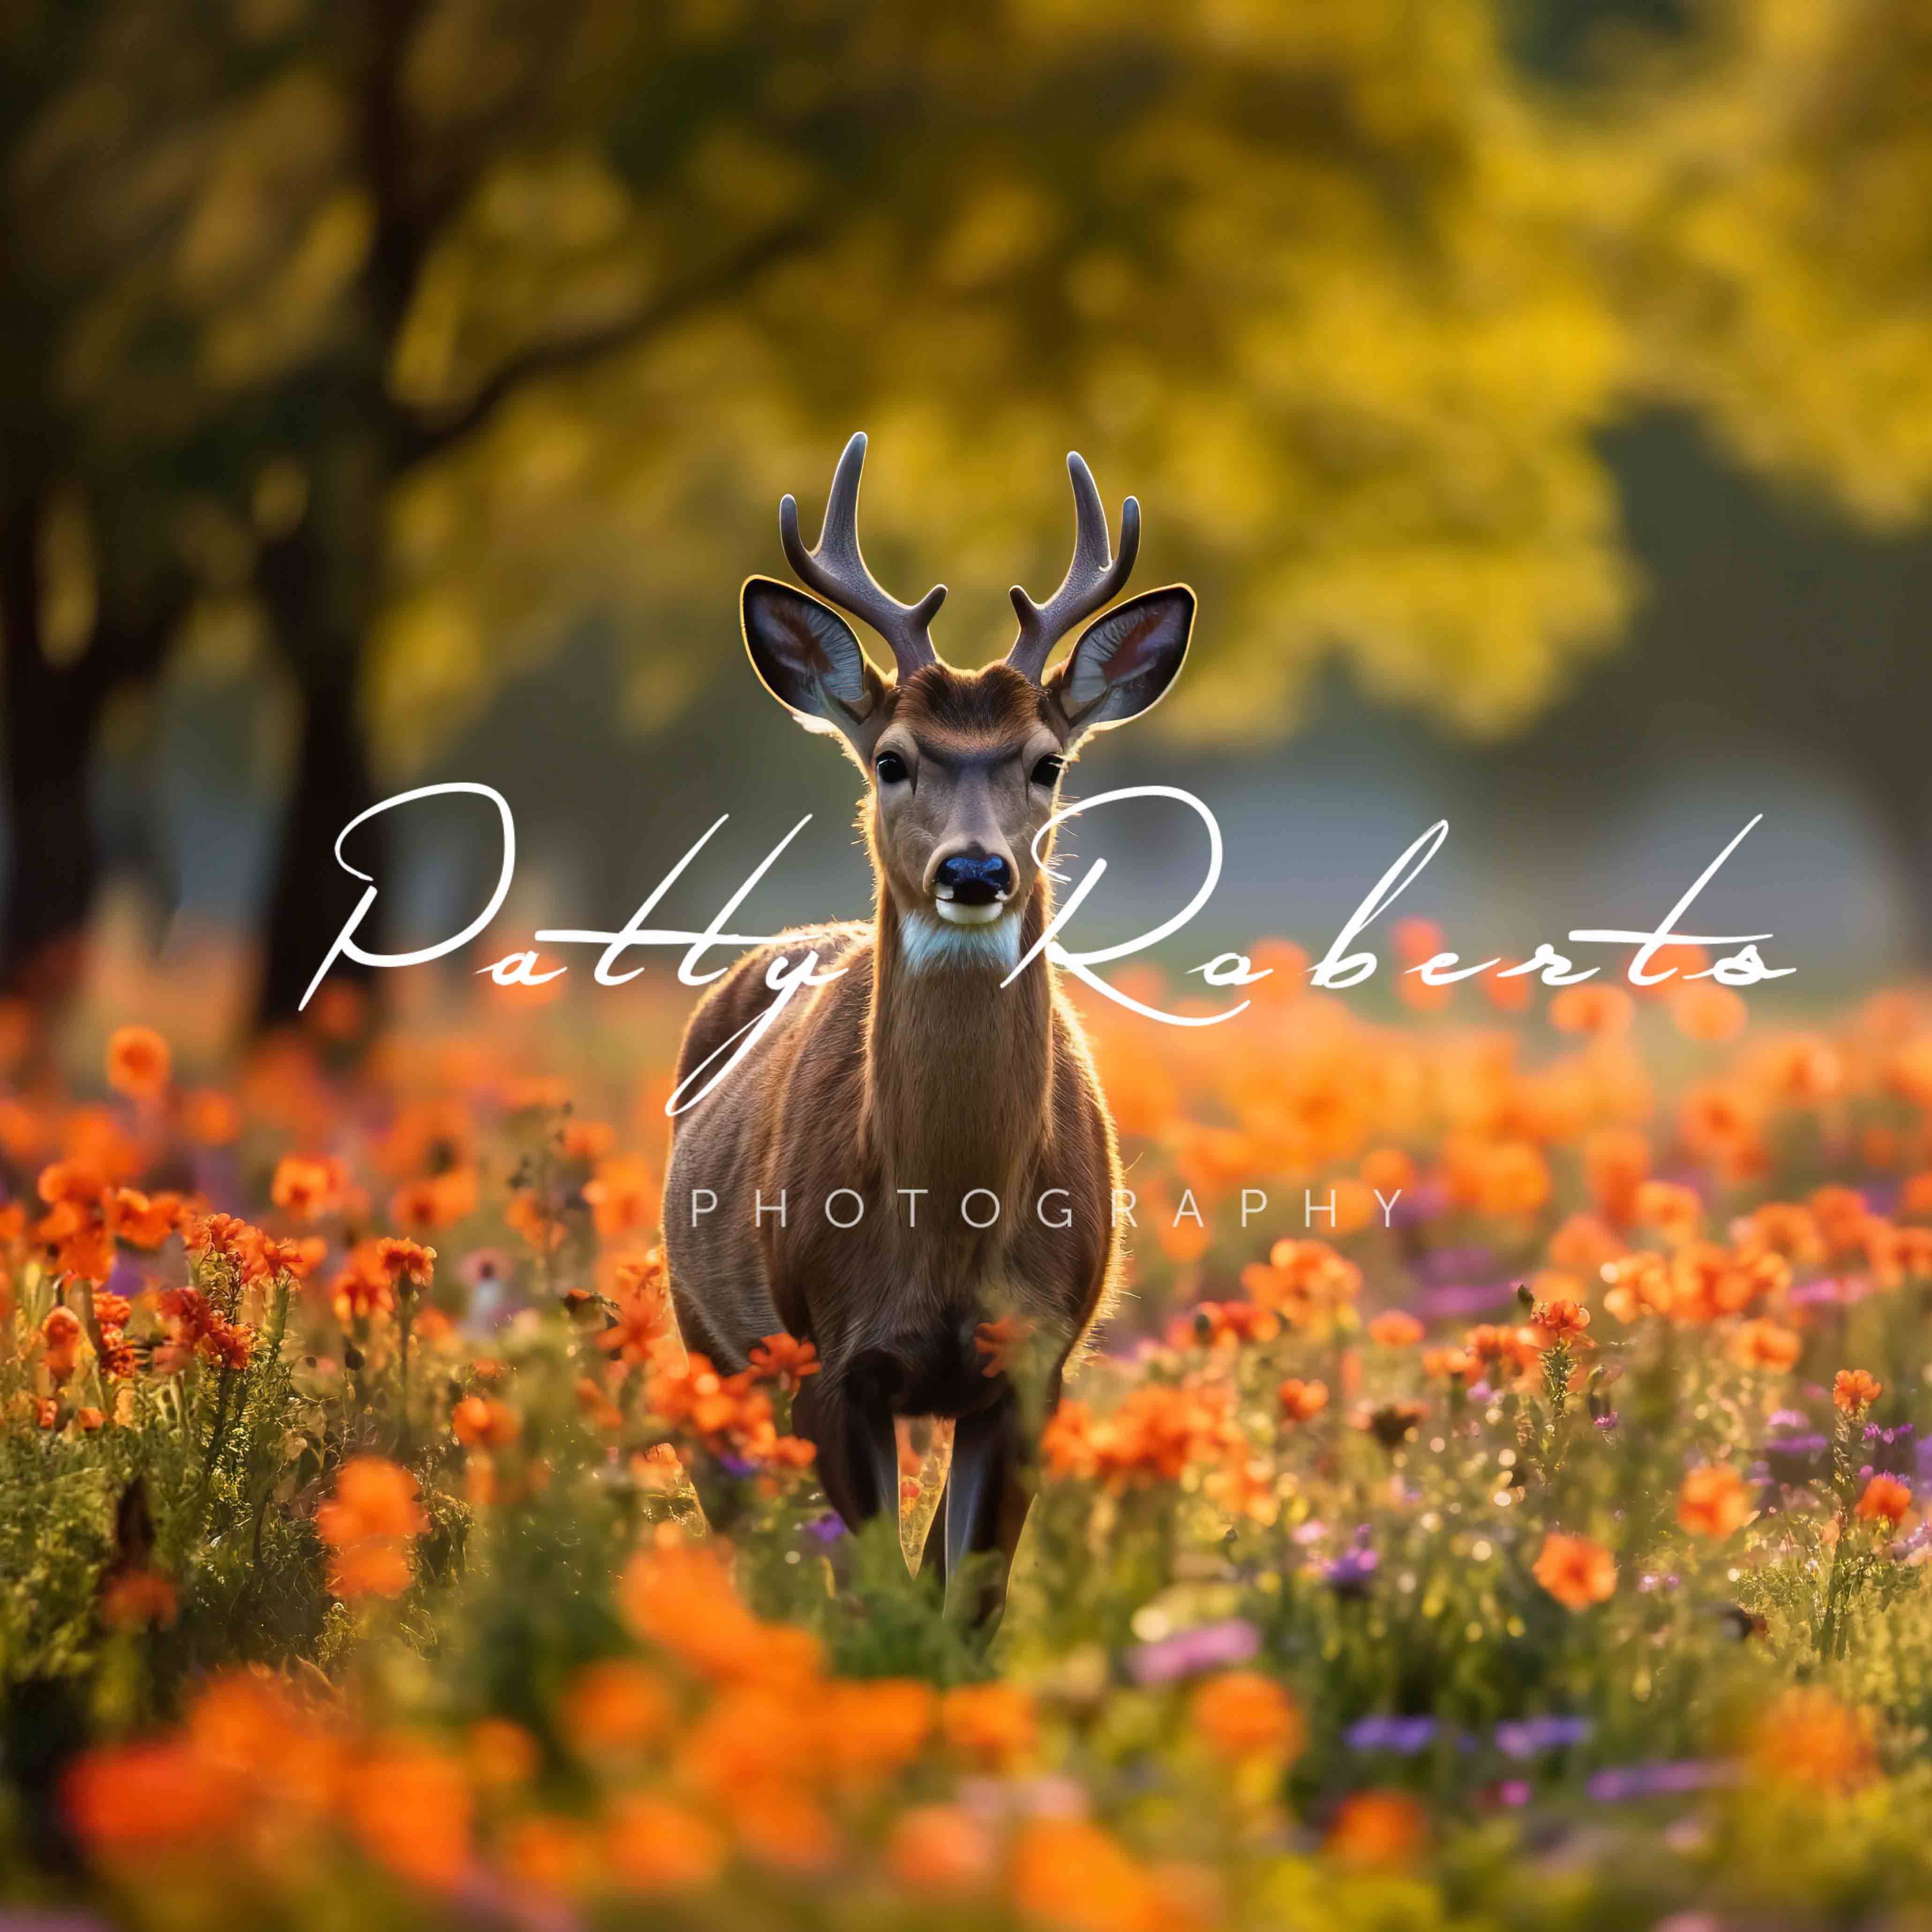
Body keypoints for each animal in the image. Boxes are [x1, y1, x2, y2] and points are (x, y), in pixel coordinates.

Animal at [661, 432, 1193, 1621]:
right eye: (892, 757)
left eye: (1046, 761)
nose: (974, 869)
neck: (946, 1224)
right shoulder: (825, 1354)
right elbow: (876, 1599)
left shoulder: (1032, 1365)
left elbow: (963, 1604)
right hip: (705, 1342)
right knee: (746, 1539)